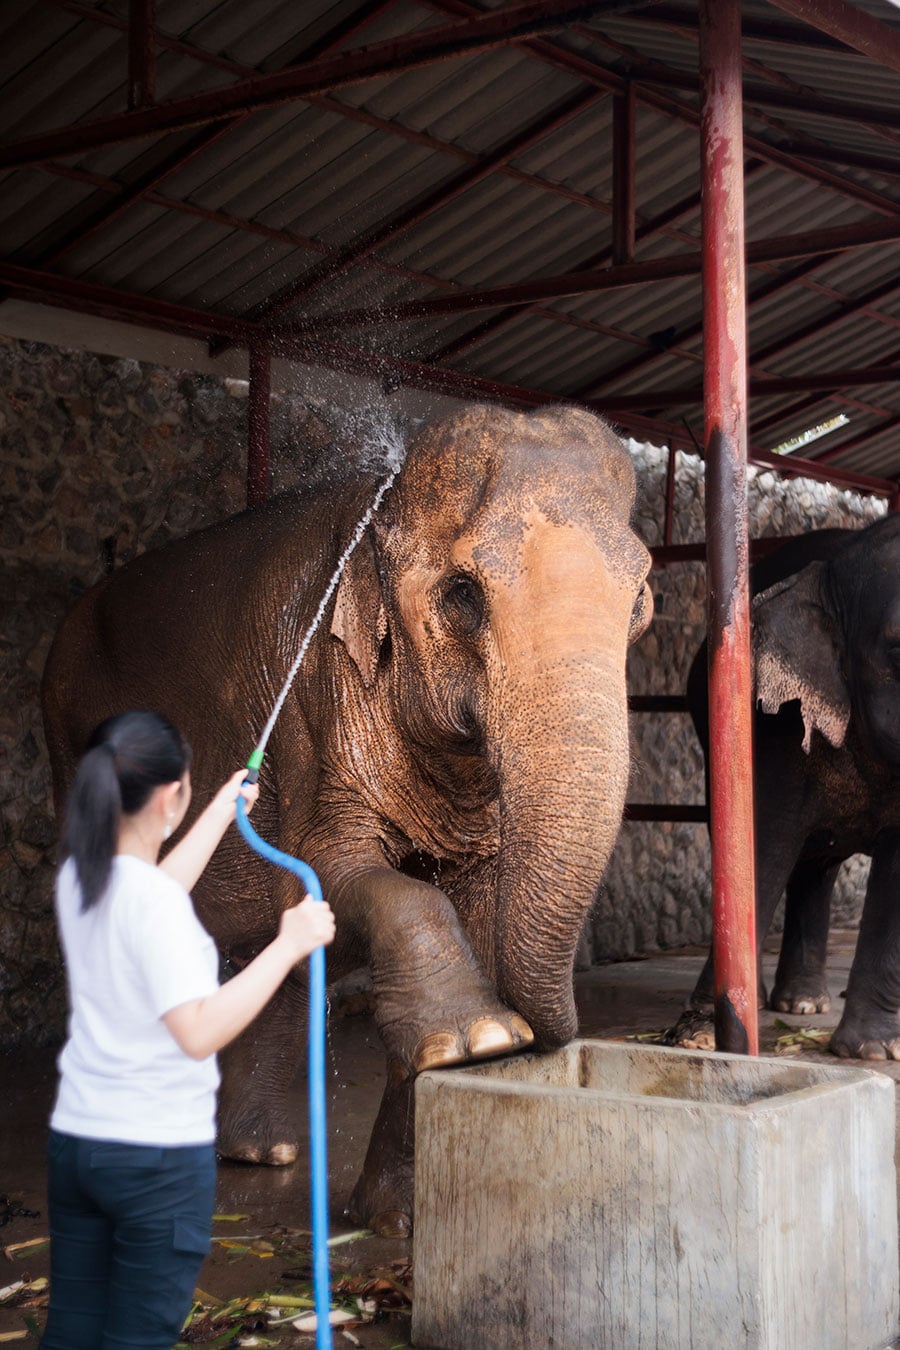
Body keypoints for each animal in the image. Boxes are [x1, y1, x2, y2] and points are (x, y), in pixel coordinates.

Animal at [40, 402, 655, 1236]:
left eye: (642, 602)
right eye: (462, 594)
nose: (548, 1043)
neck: (378, 506)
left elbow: (468, 900)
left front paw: (396, 1213)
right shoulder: (311, 707)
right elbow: (328, 874)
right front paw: (483, 1038)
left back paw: (257, 1154)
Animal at [682, 510, 900, 1058]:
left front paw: (872, 1051)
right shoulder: (774, 724)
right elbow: (763, 848)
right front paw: (699, 1038)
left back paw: (801, 1005)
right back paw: (781, 1003)